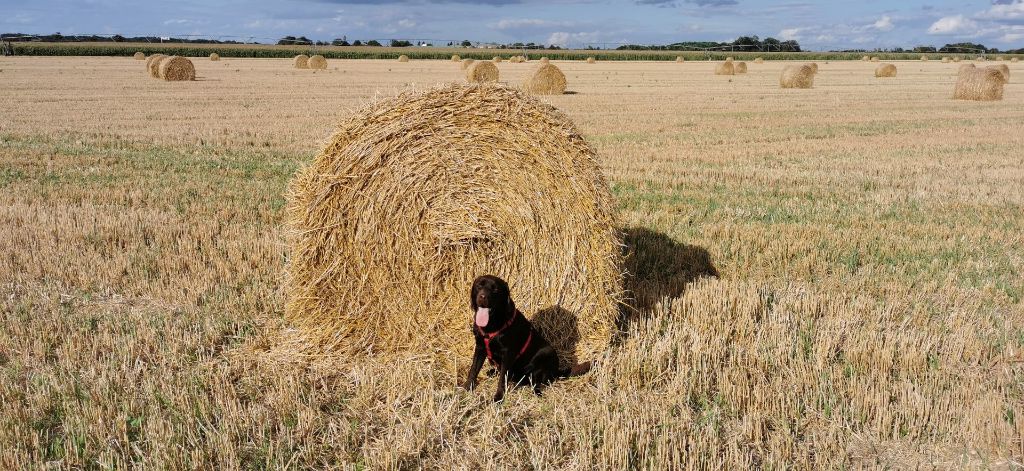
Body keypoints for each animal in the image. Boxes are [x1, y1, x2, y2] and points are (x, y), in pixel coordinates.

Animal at [462, 274, 589, 403]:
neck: (491, 326)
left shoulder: (508, 353)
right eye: (479, 286)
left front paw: (498, 397)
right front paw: (467, 387)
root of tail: (556, 371)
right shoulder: (480, 347)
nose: (483, 297)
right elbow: (473, 370)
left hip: (546, 353)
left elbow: (502, 378)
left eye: (495, 289)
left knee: (536, 382)